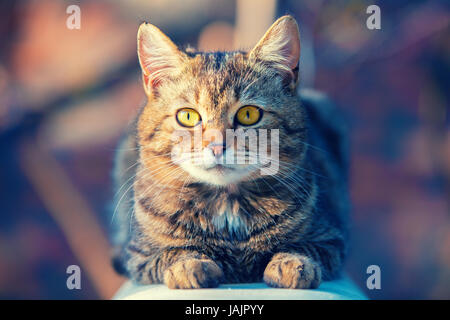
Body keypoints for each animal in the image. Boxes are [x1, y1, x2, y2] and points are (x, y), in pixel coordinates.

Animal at [110, 15, 350, 290]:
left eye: (249, 114)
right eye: (187, 116)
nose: (216, 146)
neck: (227, 206)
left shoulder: (331, 237)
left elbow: (302, 247)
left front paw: (293, 263)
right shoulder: (138, 255)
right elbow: (172, 252)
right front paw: (189, 265)